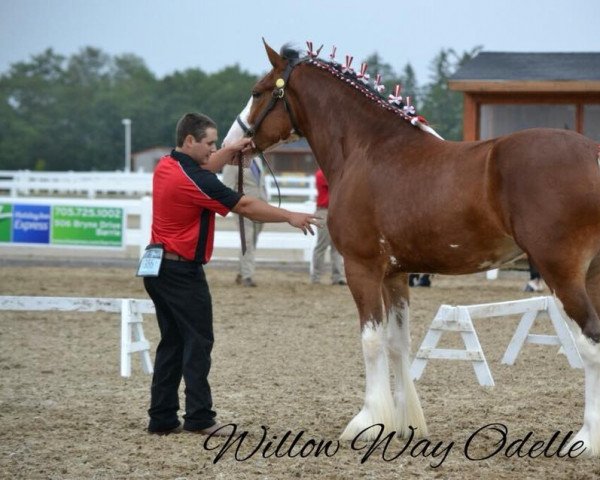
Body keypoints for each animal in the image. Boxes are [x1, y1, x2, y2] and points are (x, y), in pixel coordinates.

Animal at [227, 40, 600, 454]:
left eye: (257, 92)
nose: (233, 143)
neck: (366, 149)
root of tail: (593, 153)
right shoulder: (395, 274)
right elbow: (397, 343)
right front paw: (404, 423)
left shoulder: (362, 268)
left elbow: (371, 341)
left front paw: (367, 422)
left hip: (561, 273)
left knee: (590, 343)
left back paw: (585, 439)